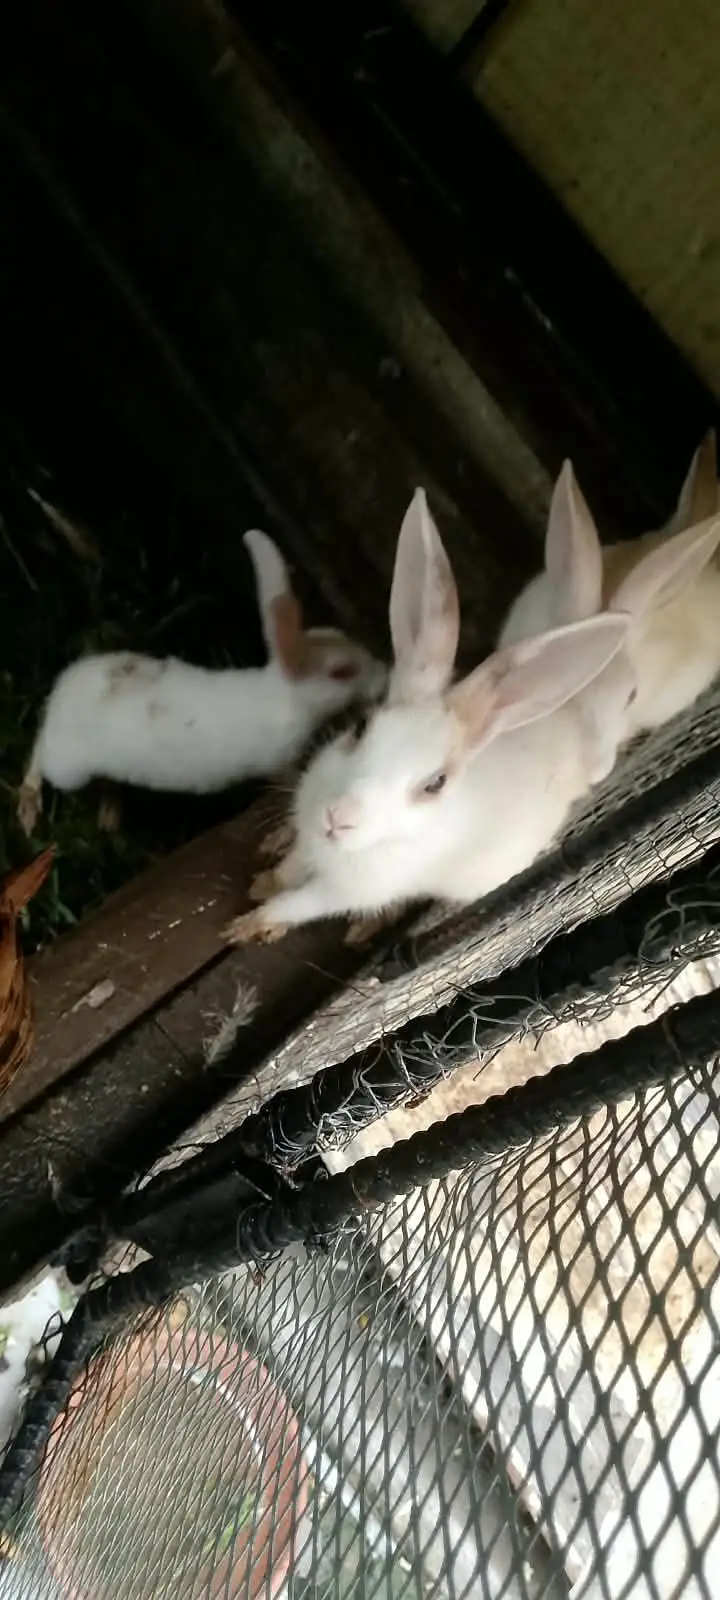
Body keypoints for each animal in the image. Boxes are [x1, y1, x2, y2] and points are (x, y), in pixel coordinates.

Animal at [16, 528, 386, 836]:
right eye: (342, 671)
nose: (383, 675)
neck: (285, 695)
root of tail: (62, 692)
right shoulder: (277, 761)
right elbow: (287, 778)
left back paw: (109, 814)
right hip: (68, 769)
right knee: (38, 751)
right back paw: (29, 806)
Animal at [223, 488, 629, 946]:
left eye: (435, 784)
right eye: (361, 727)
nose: (338, 816)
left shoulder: (346, 890)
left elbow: (299, 904)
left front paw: (248, 925)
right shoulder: (309, 839)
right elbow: (290, 869)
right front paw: (265, 881)